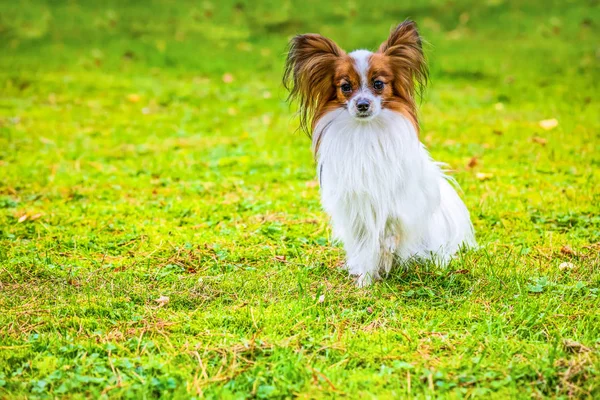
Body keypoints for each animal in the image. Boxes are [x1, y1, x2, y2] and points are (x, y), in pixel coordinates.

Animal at [284, 21, 476, 288]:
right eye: (345, 87)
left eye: (378, 84)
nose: (363, 104)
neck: (367, 132)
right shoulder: (358, 208)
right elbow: (367, 245)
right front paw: (365, 279)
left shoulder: (398, 201)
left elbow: (390, 230)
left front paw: (386, 253)